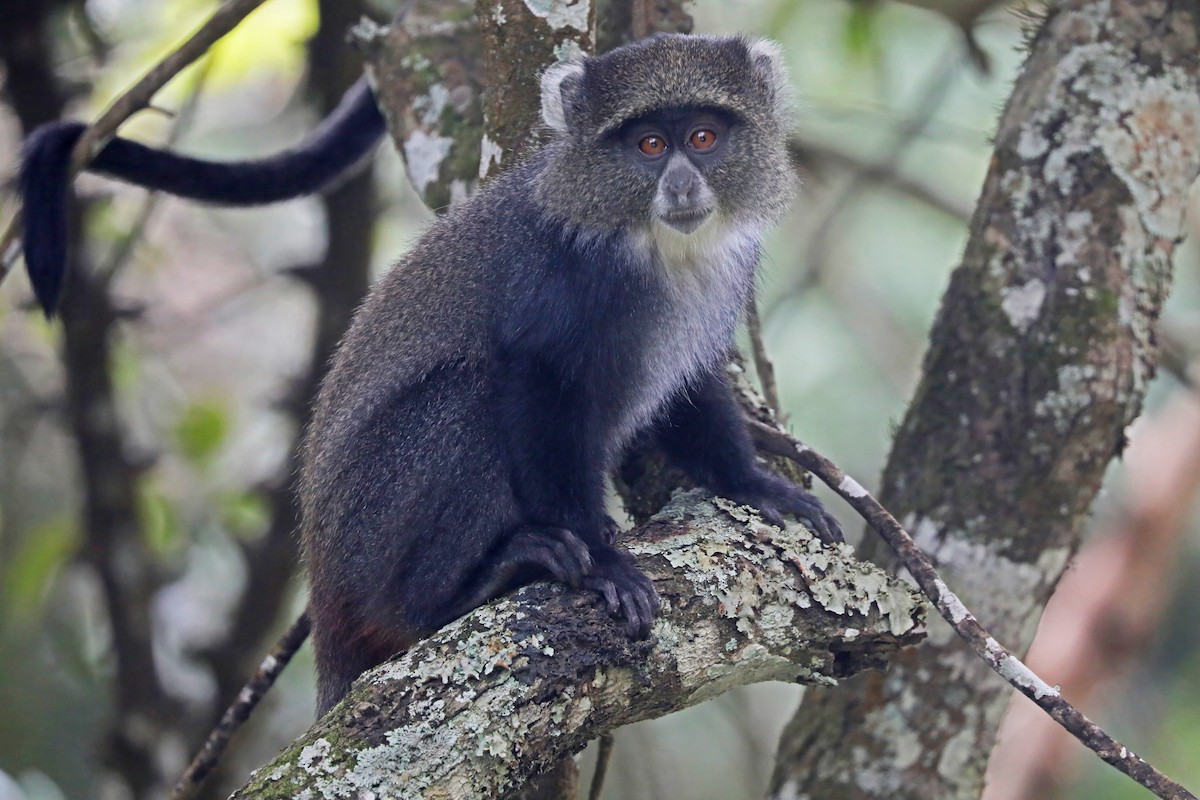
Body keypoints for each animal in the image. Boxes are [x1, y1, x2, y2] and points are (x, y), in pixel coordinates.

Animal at [297, 33, 843, 715]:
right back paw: (460, 590)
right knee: (466, 396)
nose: (681, 186)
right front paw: (603, 558)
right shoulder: (559, 279)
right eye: (650, 146)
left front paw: (750, 483)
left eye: (704, 138)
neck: (655, 248)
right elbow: (539, 388)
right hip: (368, 534)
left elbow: (693, 388)